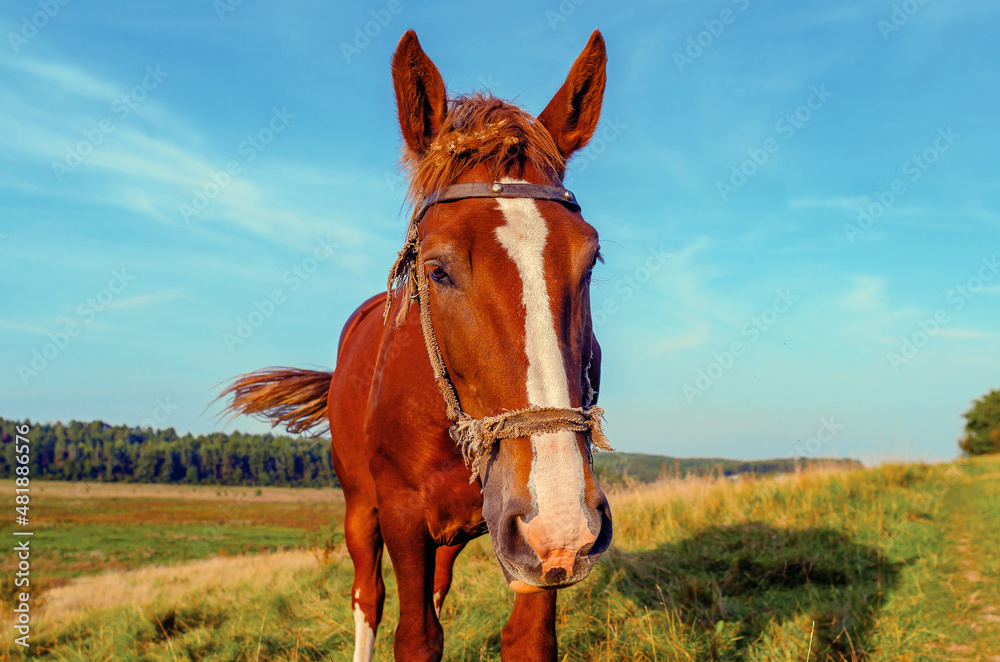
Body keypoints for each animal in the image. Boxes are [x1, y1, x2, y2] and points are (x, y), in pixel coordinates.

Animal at [222, 29, 613, 661]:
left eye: (591, 258)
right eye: (436, 269)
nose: (560, 515)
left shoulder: (529, 544)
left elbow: (525, 636)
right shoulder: (405, 517)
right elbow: (414, 636)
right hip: (362, 509)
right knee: (368, 596)